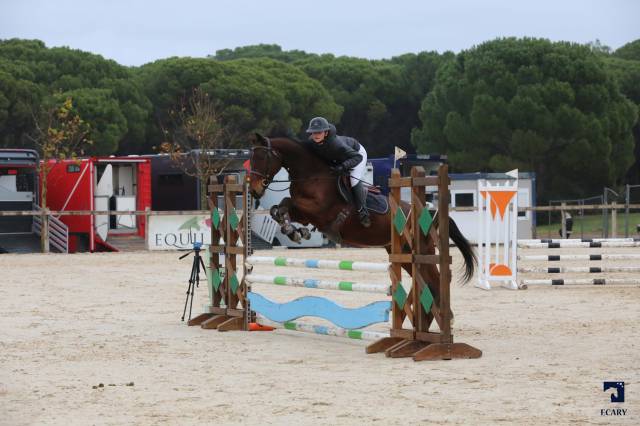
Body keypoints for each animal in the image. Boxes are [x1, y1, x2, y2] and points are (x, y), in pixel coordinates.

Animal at [247, 133, 476, 288]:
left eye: (262, 158)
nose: (254, 190)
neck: (312, 176)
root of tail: (432, 216)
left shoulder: (319, 211)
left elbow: (287, 204)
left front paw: (295, 232)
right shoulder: (304, 213)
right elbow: (279, 208)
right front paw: (294, 231)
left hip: (420, 251)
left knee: (435, 281)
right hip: (400, 253)